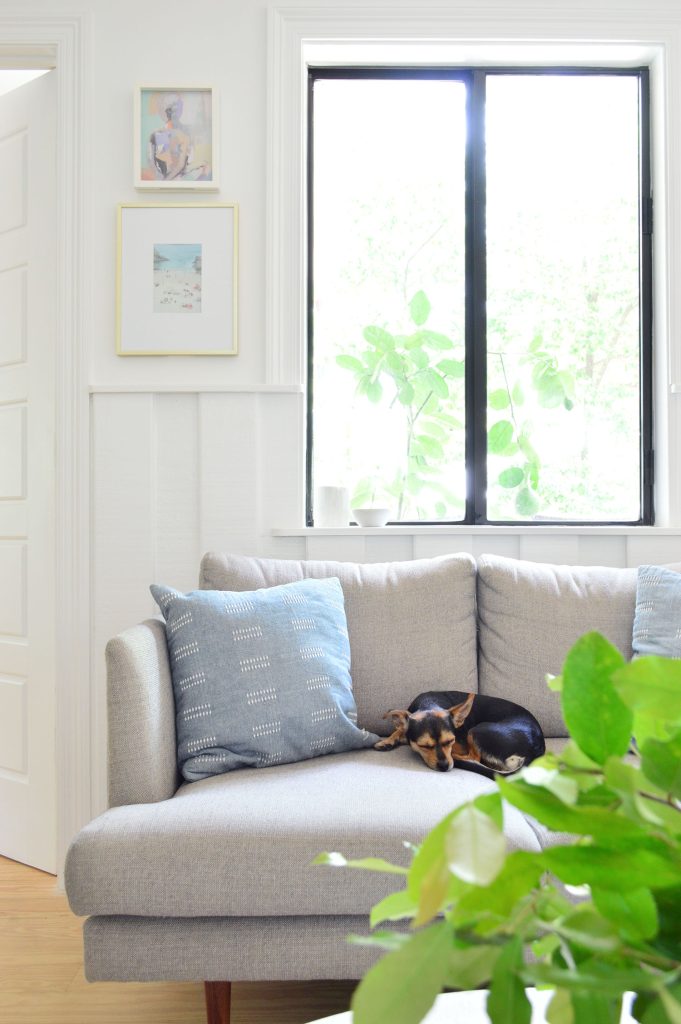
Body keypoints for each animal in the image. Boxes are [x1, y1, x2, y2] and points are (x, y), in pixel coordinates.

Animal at [374, 692, 544, 778]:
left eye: (450, 740)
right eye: (424, 746)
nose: (445, 766)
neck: (428, 704)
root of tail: (537, 749)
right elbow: (401, 729)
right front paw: (387, 741)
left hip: (477, 730)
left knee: (475, 757)